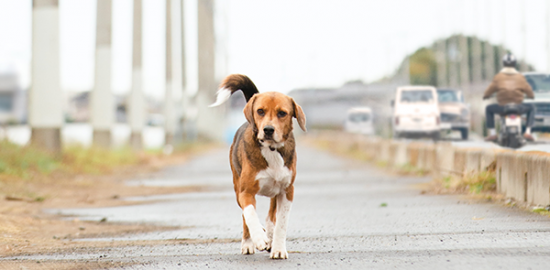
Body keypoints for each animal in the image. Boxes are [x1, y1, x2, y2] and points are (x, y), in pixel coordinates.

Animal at [210, 74, 308, 260]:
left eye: (282, 113)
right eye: (260, 111)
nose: (268, 129)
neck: (271, 149)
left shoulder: (287, 191)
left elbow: (281, 223)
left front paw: (278, 248)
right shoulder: (246, 192)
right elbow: (250, 214)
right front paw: (259, 238)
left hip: (275, 191)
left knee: (270, 216)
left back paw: (269, 235)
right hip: (237, 188)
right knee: (245, 217)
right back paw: (249, 243)